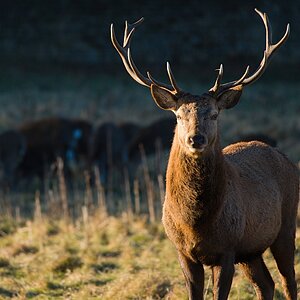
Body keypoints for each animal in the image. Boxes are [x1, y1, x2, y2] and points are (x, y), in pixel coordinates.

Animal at [111, 8, 298, 300]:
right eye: (178, 115)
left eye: (214, 114)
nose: (195, 138)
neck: (195, 224)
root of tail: (287, 158)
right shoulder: (183, 252)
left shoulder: (227, 249)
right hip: (251, 250)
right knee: (266, 284)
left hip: (286, 225)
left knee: (289, 281)